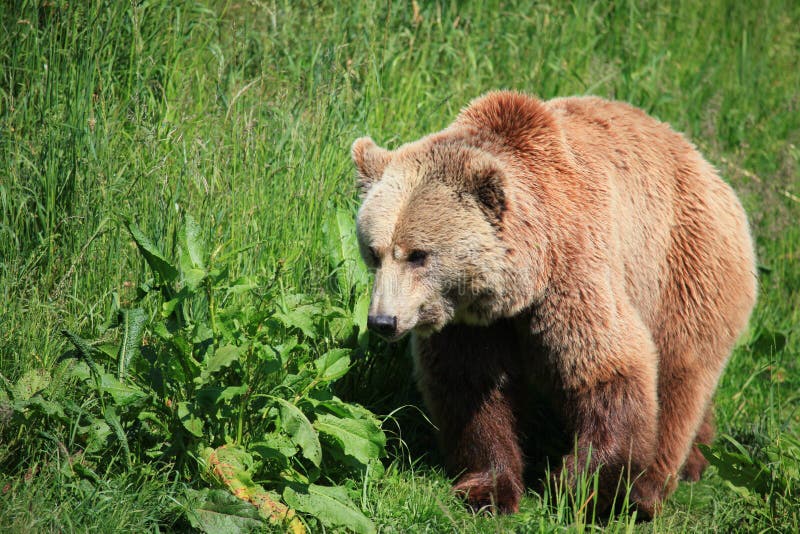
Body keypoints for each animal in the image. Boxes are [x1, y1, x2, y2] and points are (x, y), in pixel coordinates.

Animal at [350, 92, 756, 520]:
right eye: (374, 252)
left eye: (418, 254)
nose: (383, 321)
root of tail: (711, 171)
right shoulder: (472, 321)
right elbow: (472, 384)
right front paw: (487, 490)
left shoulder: (573, 270)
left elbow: (609, 367)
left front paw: (579, 485)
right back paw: (697, 458)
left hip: (683, 270)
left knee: (680, 378)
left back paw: (647, 491)